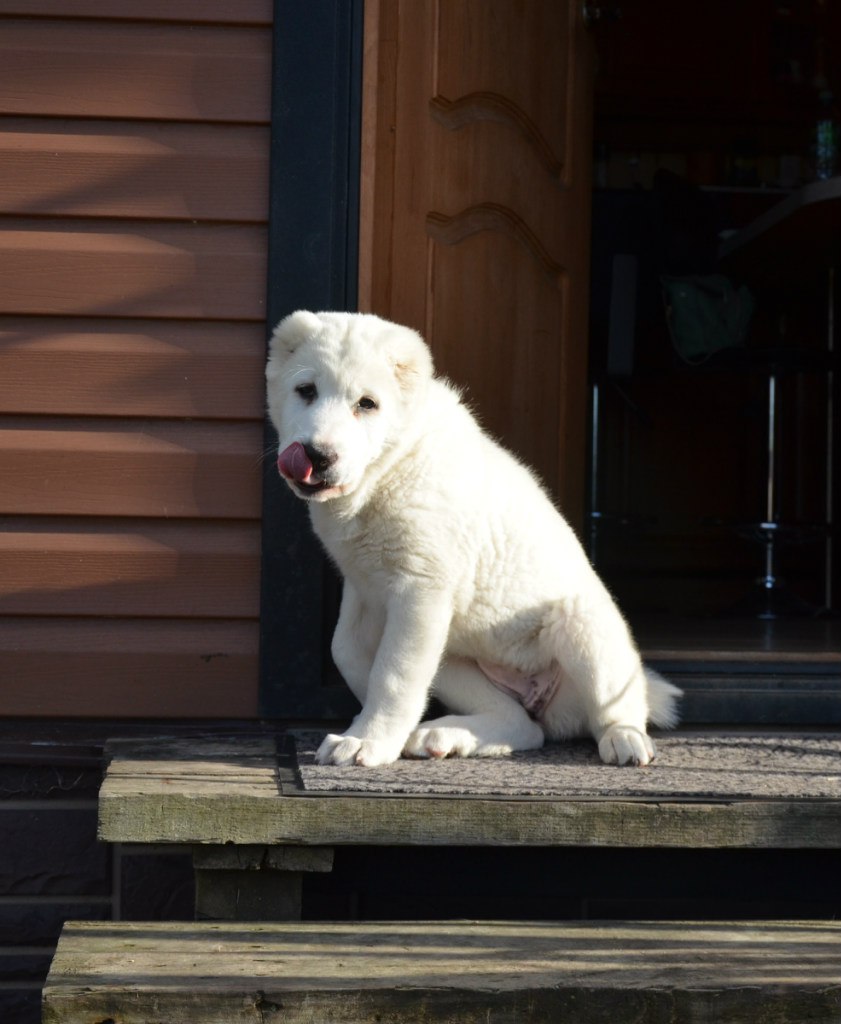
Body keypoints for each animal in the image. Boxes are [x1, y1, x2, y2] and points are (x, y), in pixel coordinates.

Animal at [266, 311, 680, 770]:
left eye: (367, 404)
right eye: (306, 391)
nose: (317, 455)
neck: (390, 469)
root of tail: (547, 701)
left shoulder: (420, 591)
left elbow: (392, 676)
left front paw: (368, 740)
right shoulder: (366, 589)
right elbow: (348, 651)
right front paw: (369, 727)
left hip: (584, 623)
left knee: (616, 703)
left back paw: (625, 739)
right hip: (452, 655)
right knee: (525, 727)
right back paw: (442, 735)